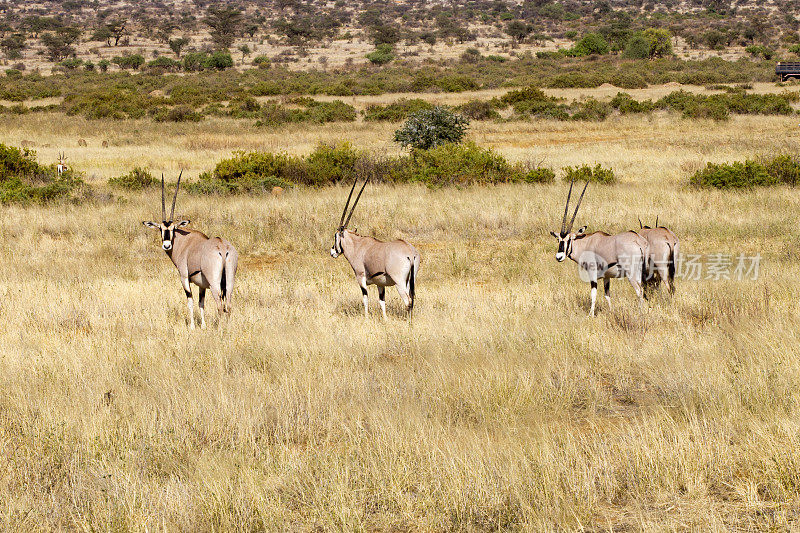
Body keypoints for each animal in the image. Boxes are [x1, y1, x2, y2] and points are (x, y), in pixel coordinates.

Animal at [144, 172, 238, 328]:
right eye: (161, 229)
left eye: (173, 228)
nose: (167, 246)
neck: (184, 242)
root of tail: (223, 247)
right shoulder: (202, 284)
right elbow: (201, 303)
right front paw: (203, 325)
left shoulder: (184, 277)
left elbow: (190, 301)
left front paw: (193, 326)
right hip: (229, 281)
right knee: (228, 305)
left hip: (214, 283)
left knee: (219, 305)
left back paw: (219, 328)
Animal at [330, 179, 422, 320]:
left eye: (335, 236)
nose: (333, 252)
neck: (357, 246)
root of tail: (410, 252)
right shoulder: (380, 283)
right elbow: (381, 301)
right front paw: (385, 319)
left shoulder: (360, 277)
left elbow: (365, 298)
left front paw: (366, 317)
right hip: (410, 280)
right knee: (412, 299)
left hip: (399, 282)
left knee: (408, 301)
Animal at [552, 181, 648, 318]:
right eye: (558, 239)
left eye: (569, 239)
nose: (559, 257)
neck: (586, 242)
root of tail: (638, 241)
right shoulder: (606, 277)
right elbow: (607, 295)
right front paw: (611, 312)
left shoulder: (592, 274)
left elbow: (593, 294)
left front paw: (590, 315)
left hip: (631, 273)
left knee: (639, 290)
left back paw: (640, 313)